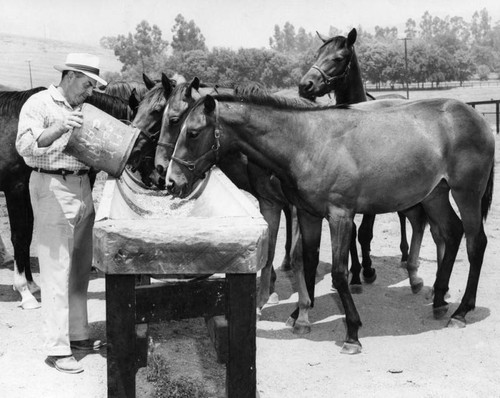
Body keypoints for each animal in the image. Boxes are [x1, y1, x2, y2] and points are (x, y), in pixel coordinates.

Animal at [166, 93, 494, 354]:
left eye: (193, 133)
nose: (171, 181)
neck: (306, 143)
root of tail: (475, 115)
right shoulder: (308, 214)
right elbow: (307, 259)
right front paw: (300, 314)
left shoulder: (340, 217)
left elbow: (338, 273)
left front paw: (352, 334)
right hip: (436, 194)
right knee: (451, 234)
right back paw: (439, 300)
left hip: (466, 193)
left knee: (475, 243)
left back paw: (461, 311)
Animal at [298, 27, 428, 292]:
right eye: (317, 53)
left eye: (338, 57)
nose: (305, 85)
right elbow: (351, 234)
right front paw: (354, 272)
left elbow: (365, 233)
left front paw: (367, 270)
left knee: (402, 216)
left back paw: (404, 255)